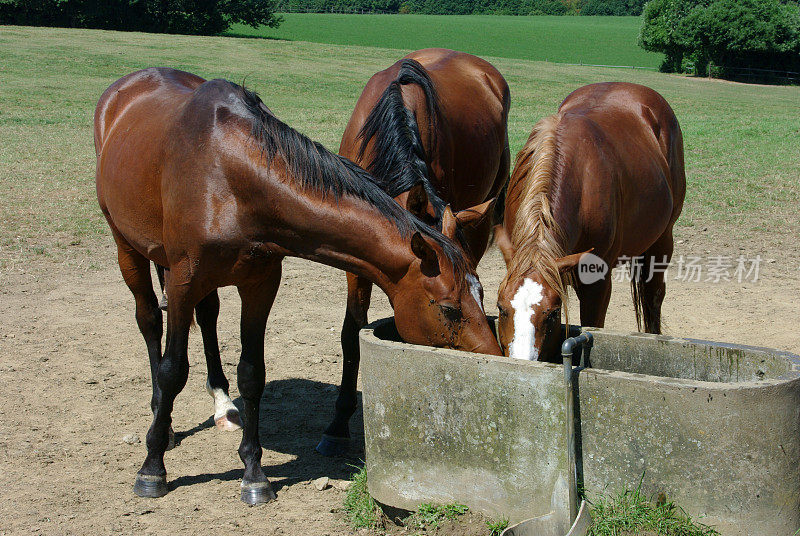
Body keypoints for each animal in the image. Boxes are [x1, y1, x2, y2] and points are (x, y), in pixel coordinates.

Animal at [494, 82, 688, 360]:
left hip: (663, 239)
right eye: (501, 307)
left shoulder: (597, 282)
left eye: (552, 313)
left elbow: (594, 325)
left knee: (653, 296)